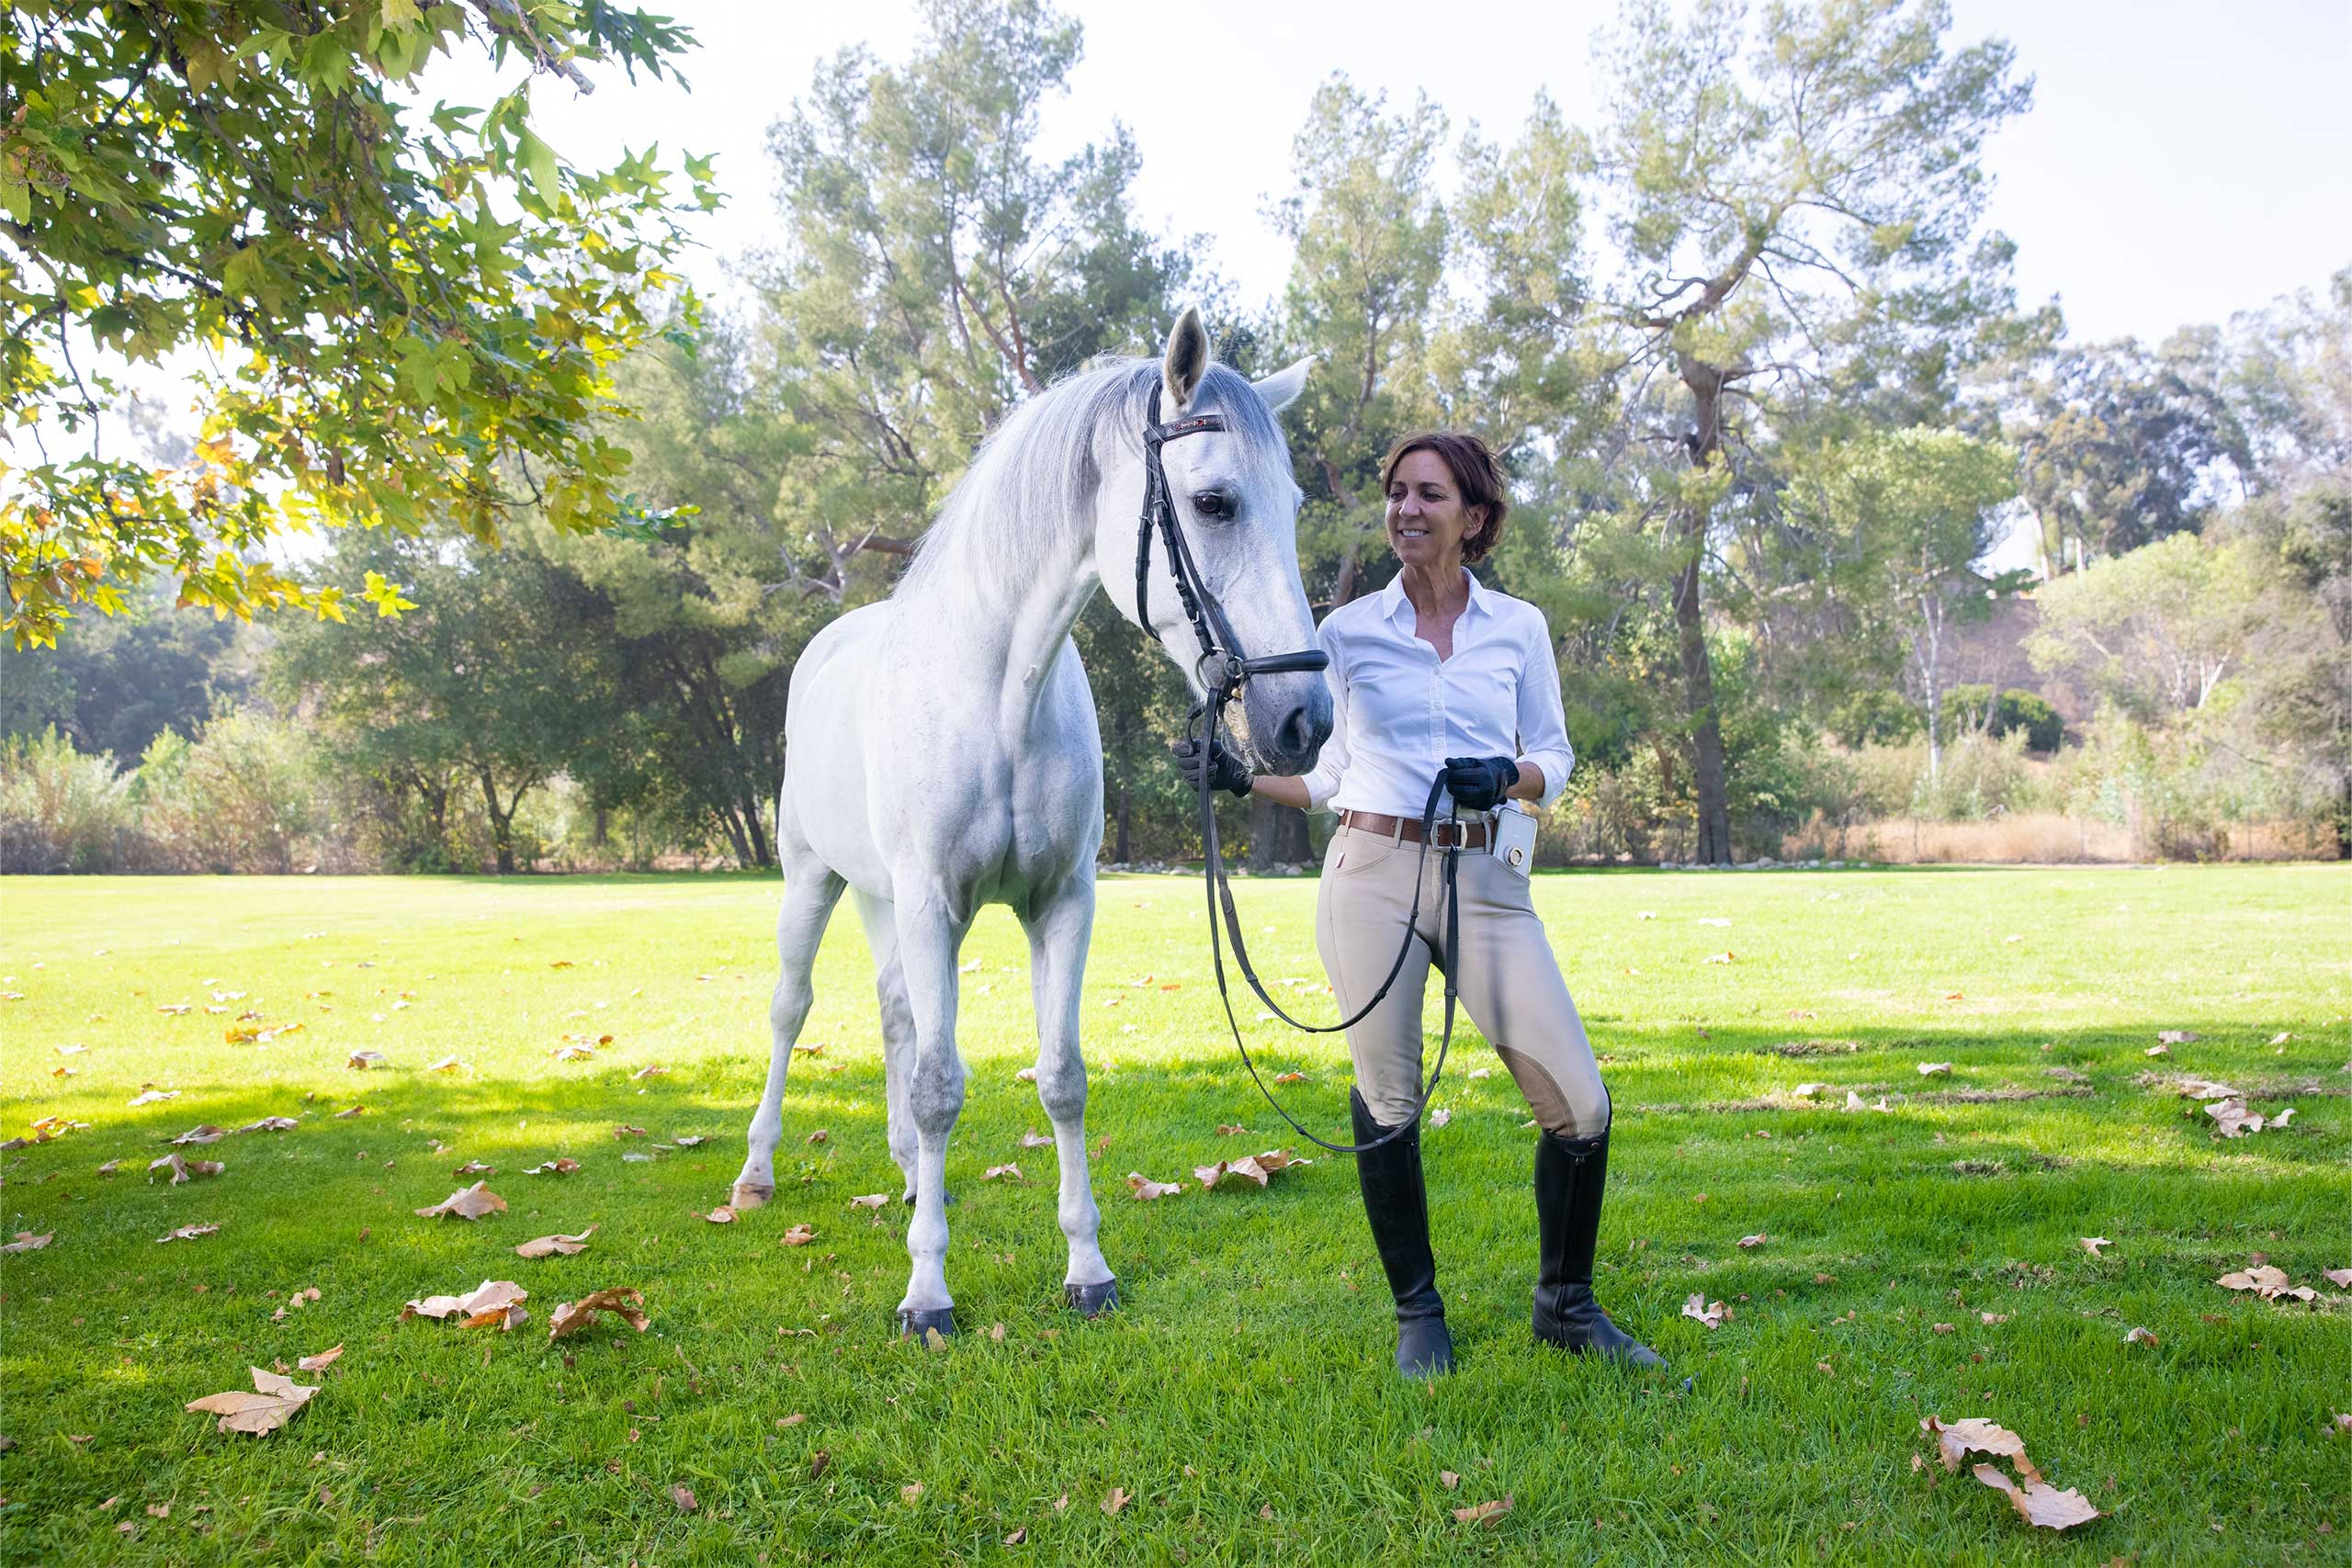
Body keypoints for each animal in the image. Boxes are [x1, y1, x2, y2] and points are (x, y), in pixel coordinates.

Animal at [728, 309, 1332, 1336]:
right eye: (1213, 501)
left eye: (1291, 505)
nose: (1306, 718)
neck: (1000, 696)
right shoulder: (933, 903)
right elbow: (940, 1087)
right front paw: (928, 1292)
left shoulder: (1060, 903)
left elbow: (1061, 1078)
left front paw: (1087, 1267)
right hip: (813, 883)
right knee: (788, 1010)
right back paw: (759, 1173)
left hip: (883, 900)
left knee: (896, 1012)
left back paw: (905, 1176)